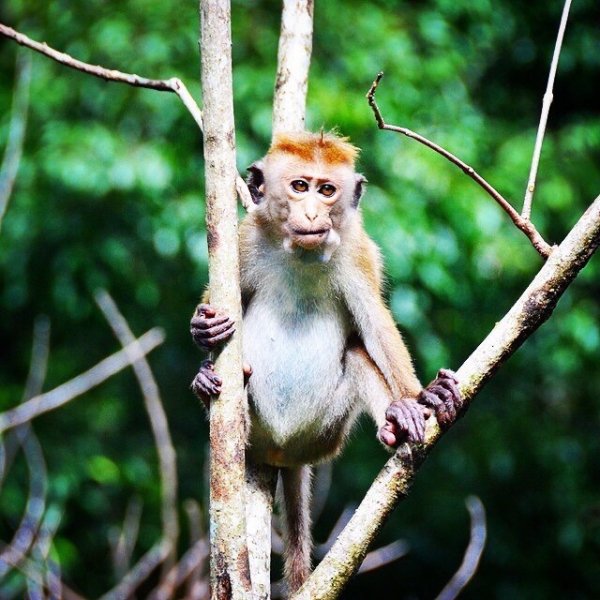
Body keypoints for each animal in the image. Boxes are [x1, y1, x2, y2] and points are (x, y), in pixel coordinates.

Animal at [190, 131, 462, 596]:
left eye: (327, 190)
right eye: (300, 187)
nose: (314, 212)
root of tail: (285, 453)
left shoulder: (357, 252)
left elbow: (375, 327)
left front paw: (423, 394)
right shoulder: (246, 241)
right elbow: (223, 297)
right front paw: (202, 330)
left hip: (327, 431)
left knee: (356, 356)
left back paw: (397, 417)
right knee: (238, 379)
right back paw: (208, 385)